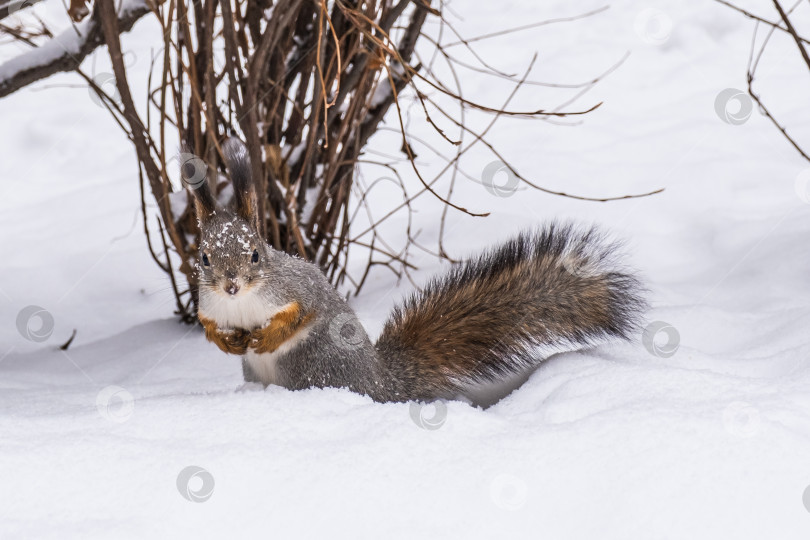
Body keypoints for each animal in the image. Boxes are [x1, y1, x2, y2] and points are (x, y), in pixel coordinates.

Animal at [183, 137, 644, 402]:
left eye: (256, 254)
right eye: (204, 257)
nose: (231, 285)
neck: (242, 305)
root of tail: (382, 384)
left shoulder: (298, 286)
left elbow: (303, 311)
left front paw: (267, 336)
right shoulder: (209, 304)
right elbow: (208, 325)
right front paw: (226, 341)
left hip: (316, 365)